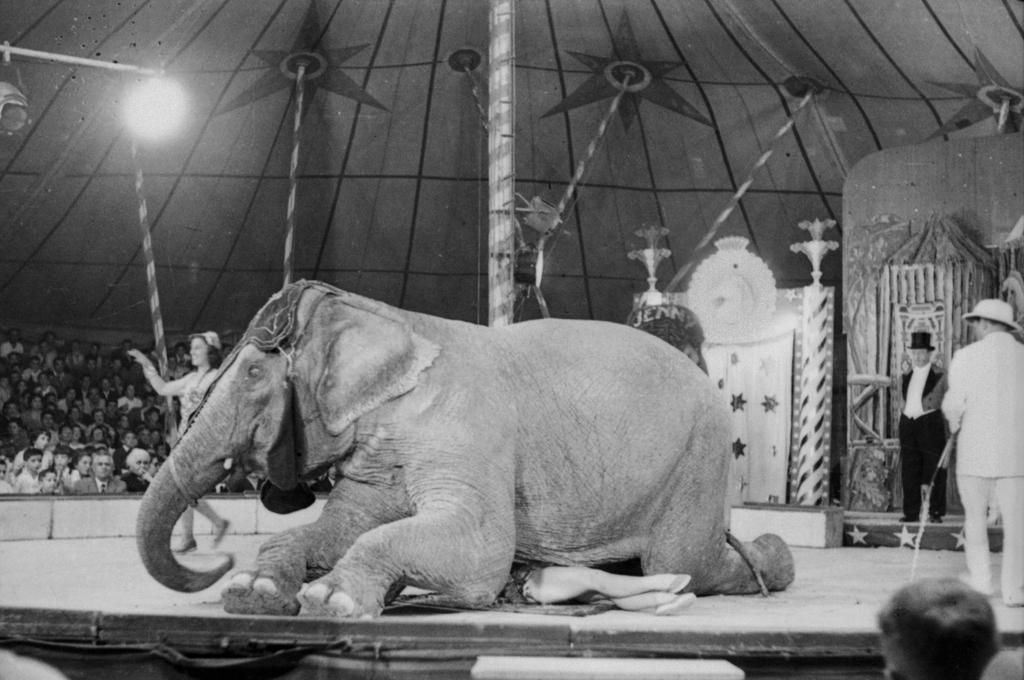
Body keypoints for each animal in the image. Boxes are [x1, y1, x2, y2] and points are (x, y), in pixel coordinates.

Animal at [136, 280, 794, 617]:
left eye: (252, 373)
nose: (218, 558)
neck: (393, 320)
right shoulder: (383, 453)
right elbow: (343, 525)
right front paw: (256, 595)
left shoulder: (466, 431)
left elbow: (481, 550)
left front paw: (329, 601)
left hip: (701, 460)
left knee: (681, 562)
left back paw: (775, 559)